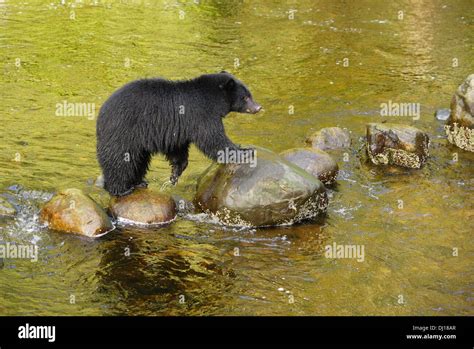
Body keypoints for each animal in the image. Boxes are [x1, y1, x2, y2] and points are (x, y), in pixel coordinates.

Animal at [95, 70, 262, 196]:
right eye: (246, 97)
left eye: (250, 94)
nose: (258, 107)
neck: (213, 99)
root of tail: (101, 114)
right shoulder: (201, 114)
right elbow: (212, 138)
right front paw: (244, 150)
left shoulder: (178, 128)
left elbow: (177, 148)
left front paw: (175, 174)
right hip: (124, 132)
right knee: (119, 161)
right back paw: (121, 189)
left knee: (139, 161)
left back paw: (139, 182)